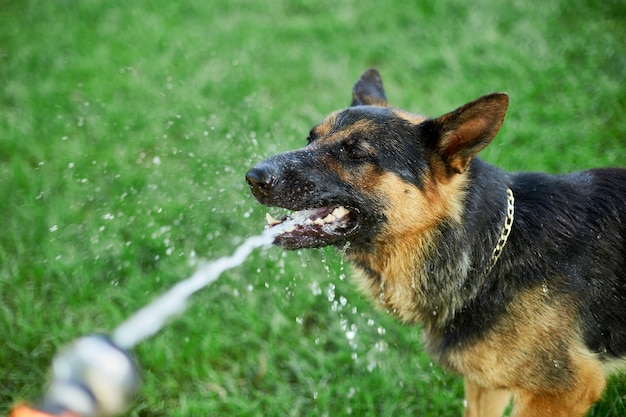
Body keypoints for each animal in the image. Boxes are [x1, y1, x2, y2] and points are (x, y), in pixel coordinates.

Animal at [245, 70, 624, 414]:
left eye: (354, 153)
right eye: (310, 138)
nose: (253, 177)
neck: (488, 258)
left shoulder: (561, 394)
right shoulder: (485, 385)